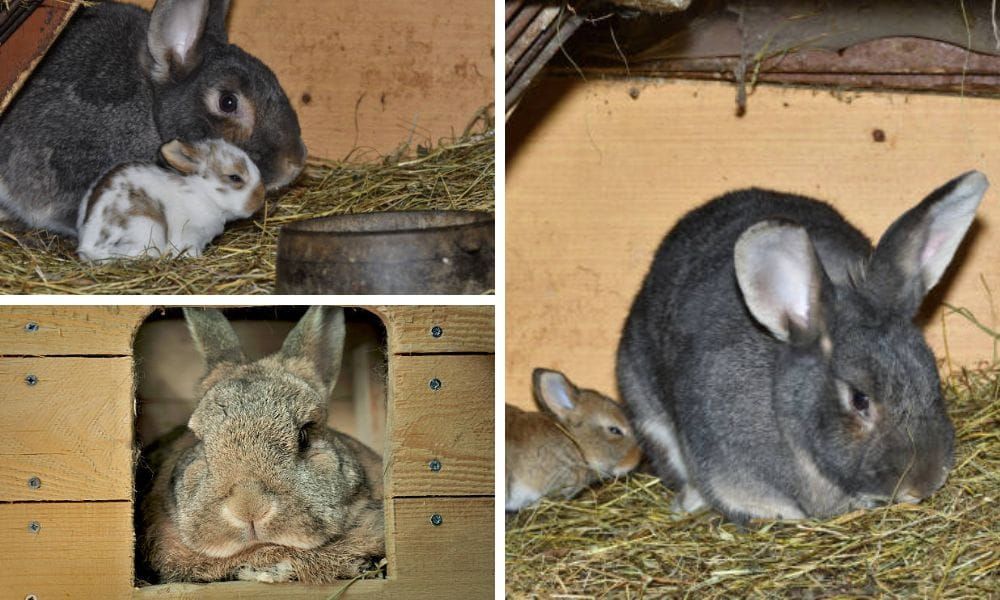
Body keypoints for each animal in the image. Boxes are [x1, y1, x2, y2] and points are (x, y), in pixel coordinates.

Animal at [77, 138, 264, 261]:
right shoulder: (190, 235)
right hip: (147, 228)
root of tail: (89, 243)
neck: (203, 194)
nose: (260, 200)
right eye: (235, 177)